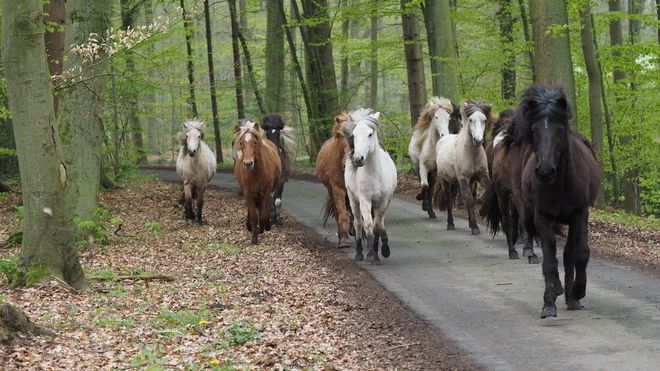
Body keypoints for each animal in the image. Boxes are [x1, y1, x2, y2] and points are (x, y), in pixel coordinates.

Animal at [340, 107, 398, 264]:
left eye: (370, 134)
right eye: (354, 135)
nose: (358, 159)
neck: (375, 174)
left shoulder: (382, 201)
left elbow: (377, 227)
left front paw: (378, 254)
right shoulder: (365, 200)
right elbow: (368, 225)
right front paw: (371, 254)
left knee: (380, 222)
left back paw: (384, 249)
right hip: (353, 200)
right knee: (358, 224)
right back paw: (360, 253)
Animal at [436, 99, 492, 235]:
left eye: (484, 120)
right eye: (471, 120)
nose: (478, 140)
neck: (472, 154)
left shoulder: (482, 176)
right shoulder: (463, 179)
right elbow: (470, 201)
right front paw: (476, 228)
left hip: (465, 182)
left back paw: (469, 223)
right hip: (445, 181)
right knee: (448, 199)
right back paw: (450, 224)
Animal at [516, 85, 604, 320]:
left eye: (560, 131)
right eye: (535, 131)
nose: (545, 172)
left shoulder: (579, 215)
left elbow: (581, 253)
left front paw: (578, 291)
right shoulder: (544, 219)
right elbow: (549, 260)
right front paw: (550, 300)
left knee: (569, 254)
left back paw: (572, 298)